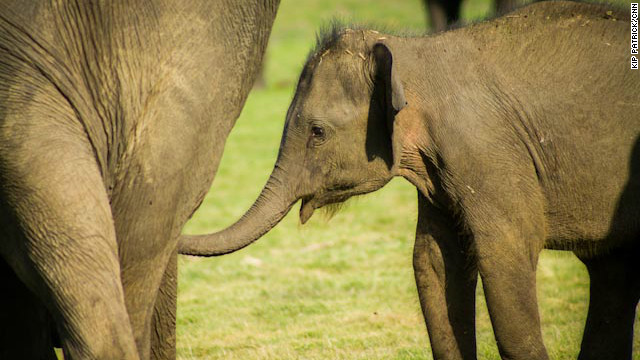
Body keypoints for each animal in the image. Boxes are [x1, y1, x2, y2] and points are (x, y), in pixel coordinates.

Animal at [182, 1, 636, 358]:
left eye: (317, 132)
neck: (412, 51)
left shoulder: (488, 154)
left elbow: (505, 255)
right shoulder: (442, 175)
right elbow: (433, 261)